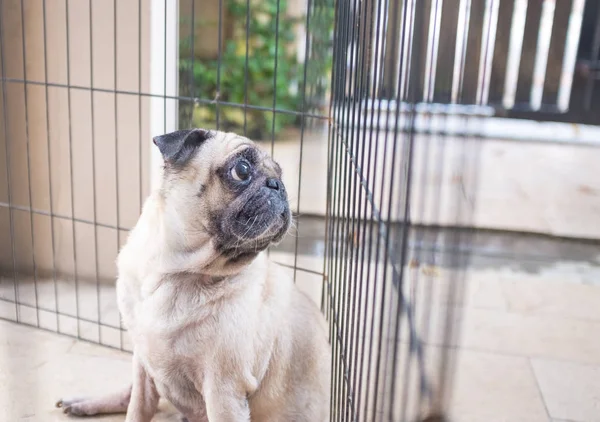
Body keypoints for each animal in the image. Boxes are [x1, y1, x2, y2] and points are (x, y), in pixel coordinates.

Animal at [54, 130, 330, 420]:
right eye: (242, 170)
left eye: (280, 175)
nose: (278, 185)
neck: (177, 273)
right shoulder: (143, 362)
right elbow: (137, 409)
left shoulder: (223, 389)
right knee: (129, 396)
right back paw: (86, 402)